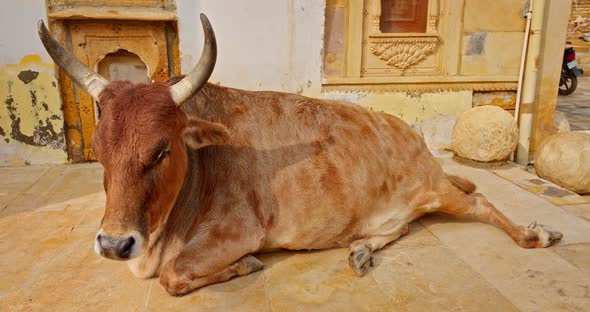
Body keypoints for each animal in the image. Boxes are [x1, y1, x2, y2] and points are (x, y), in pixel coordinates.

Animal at [37, 14, 564, 296]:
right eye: (100, 151)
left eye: (162, 149)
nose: (113, 244)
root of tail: (410, 134)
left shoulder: (238, 232)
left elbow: (174, 274)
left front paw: (246, 266)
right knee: (401, 226)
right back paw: (361, 251)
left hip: (437, 190)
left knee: (480, 203)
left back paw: (535, 235)